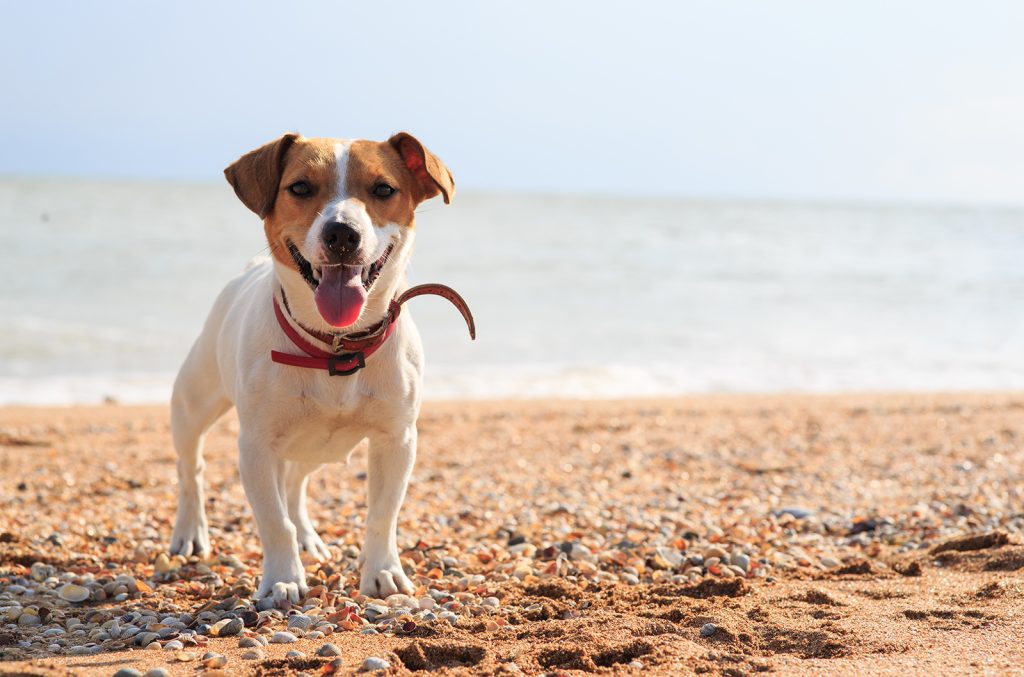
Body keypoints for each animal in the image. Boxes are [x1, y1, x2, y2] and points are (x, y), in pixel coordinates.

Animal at [167, 132, 471, 602]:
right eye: (300, 187)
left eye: (383, 189)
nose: (342, 233)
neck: (335, 346)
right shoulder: (256, 446)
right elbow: (274, 522)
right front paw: (283, 579)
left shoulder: (397, 440)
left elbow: (382, 515)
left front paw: (382, 572)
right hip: (192, 404)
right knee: (191, 468)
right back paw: (189, 532)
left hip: (314, 446)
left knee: (295, 482)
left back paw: (309, 537)